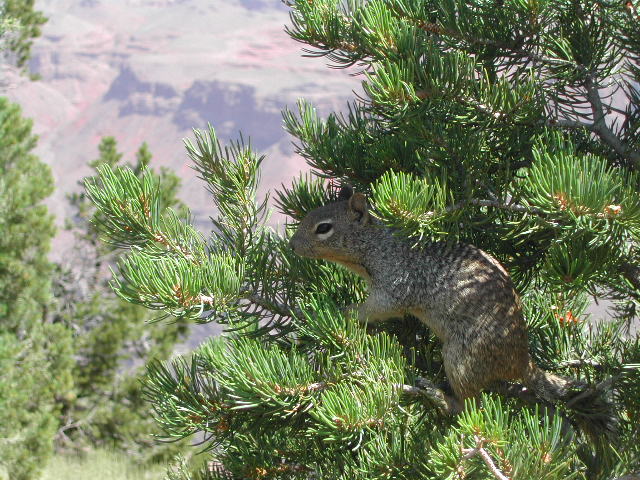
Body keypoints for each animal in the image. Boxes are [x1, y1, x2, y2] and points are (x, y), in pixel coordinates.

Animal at [290, 187, 616, 436]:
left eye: (323, 228)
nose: (292, 246)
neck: (377, 246)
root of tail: (521, 361)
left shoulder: (396, 283)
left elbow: (381, 307)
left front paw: (344, 311)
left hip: (461, 359)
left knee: (470, 408)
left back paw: (439, 397)